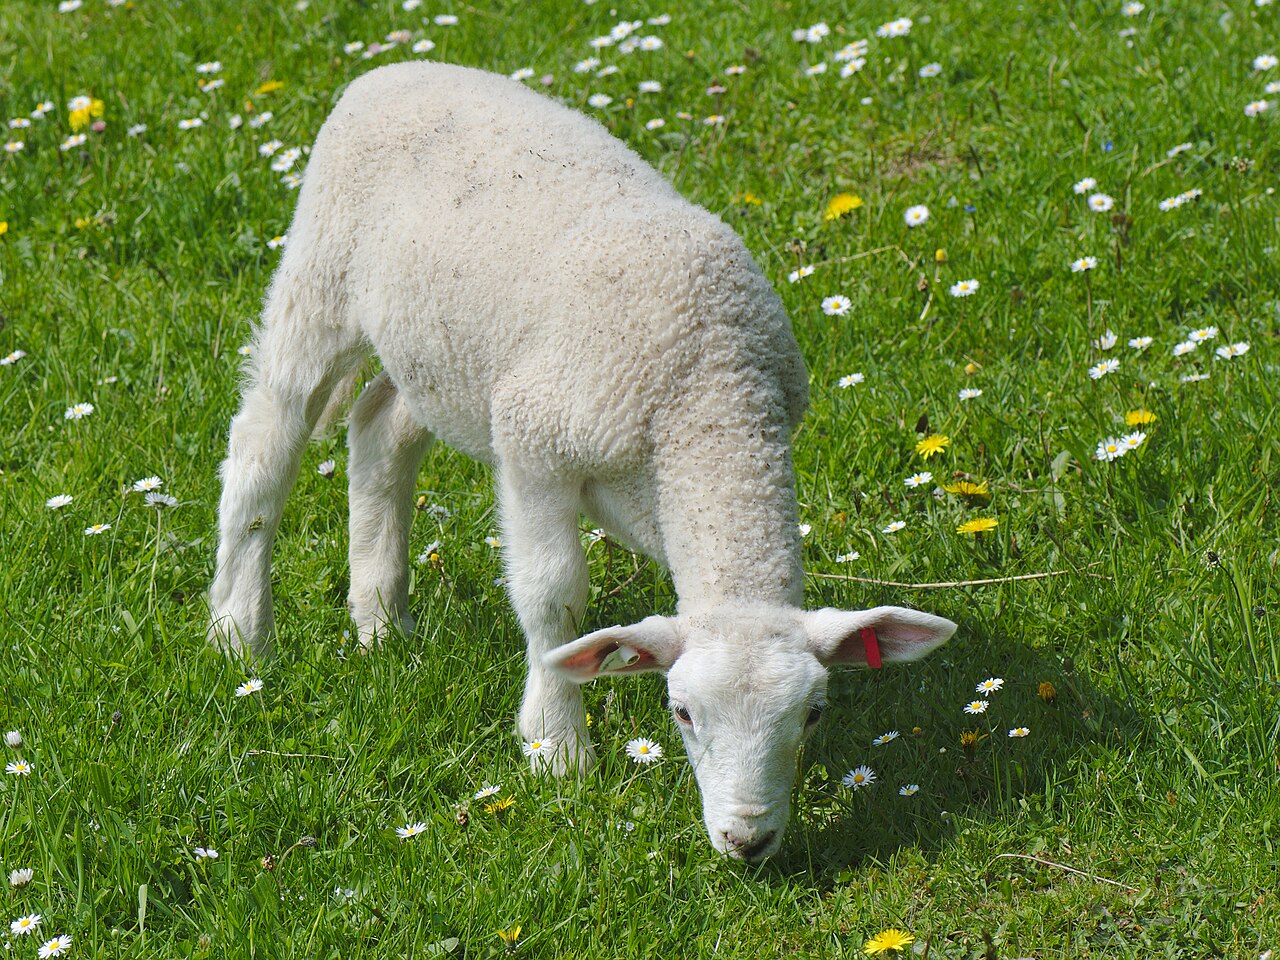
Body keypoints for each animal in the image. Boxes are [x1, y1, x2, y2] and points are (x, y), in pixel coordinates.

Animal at [208, 61, 957, 862]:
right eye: (681, 712)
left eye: (814, 713)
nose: (748, 840)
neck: (709, 390)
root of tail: (397, 67)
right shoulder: (536, 447)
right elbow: (553, 596)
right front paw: (556, 750)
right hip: (322, 275)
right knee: (263, 441)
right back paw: (240, 635)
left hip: (449, 357)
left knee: (381, 429)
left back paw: (380, 623)